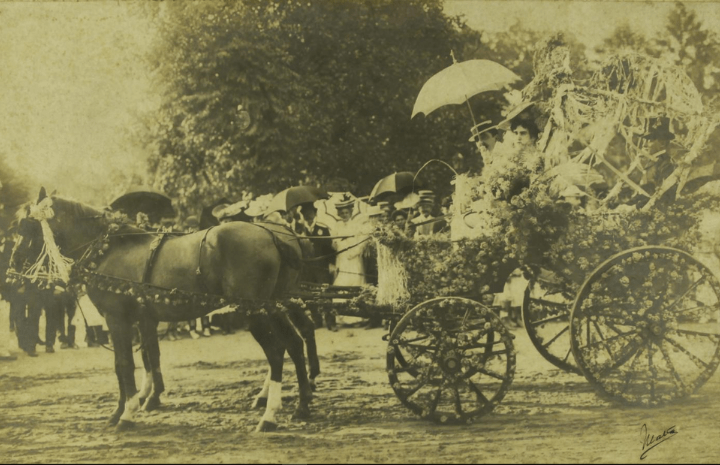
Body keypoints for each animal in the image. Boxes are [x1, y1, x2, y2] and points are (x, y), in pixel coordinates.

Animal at [11, 188, 318, 432]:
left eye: (26, 225)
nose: (13, 267)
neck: (109, 248)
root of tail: (274, 235)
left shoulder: (117, 318)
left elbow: (124, 364)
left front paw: (128, 413)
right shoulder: (141, 318)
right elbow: (142, 358)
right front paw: (129, 406)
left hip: (254, 312)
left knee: (276, 352)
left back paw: (269, 415)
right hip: (274, 306)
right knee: (294, 342)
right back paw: (302, 406)